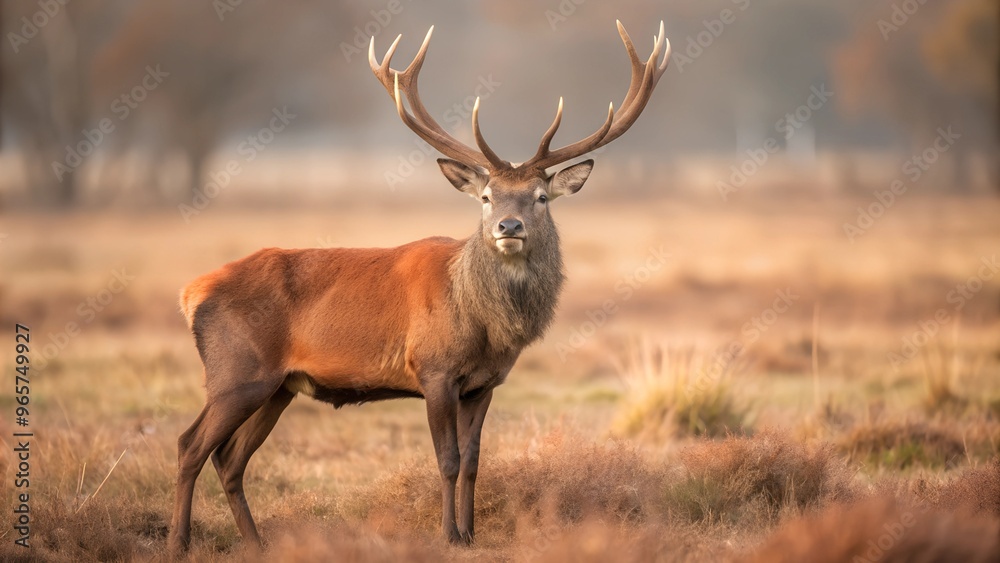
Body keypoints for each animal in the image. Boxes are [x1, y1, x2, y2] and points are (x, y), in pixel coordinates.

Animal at [167, 20, 670, 552]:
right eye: (487, 196)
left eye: (540, 197)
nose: (508, 227)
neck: (482, 324)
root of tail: (191, 292)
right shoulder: (434, 369)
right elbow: (447, 459)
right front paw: (449, 535)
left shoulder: (484, 384)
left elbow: (473, 461)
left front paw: (470, 533)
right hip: (237, 373)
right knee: (190, 445)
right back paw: (179, 541)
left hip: (279, 386)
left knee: (230, 459)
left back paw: (257, 543)